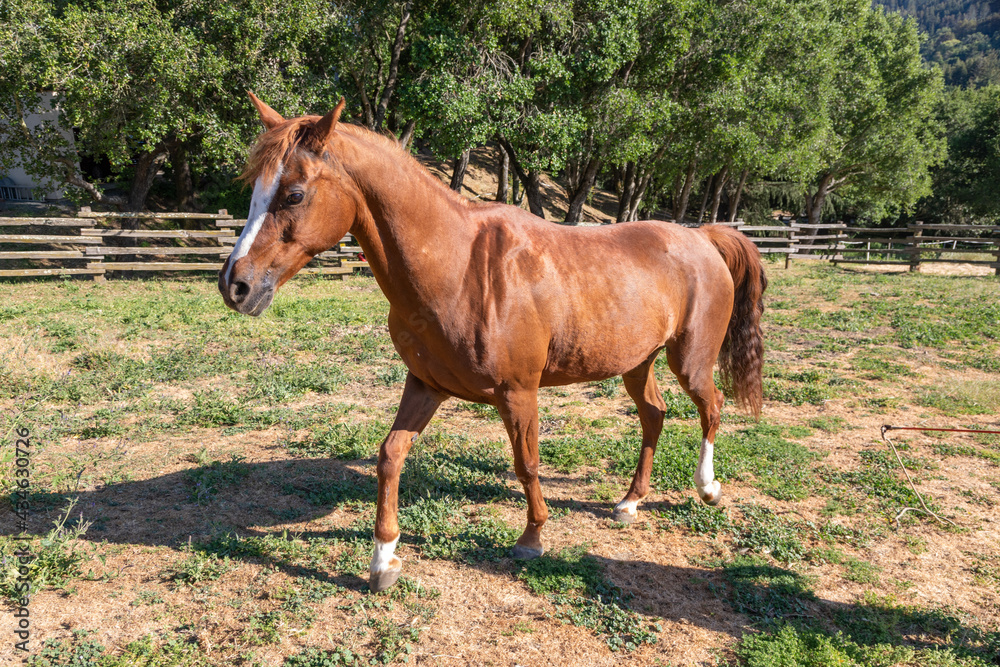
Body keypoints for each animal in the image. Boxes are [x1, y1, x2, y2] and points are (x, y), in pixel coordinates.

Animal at [219, 94, 764, 596]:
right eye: (254, 190)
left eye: (293, 195)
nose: (235, 285)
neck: (460, 267)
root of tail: (703, 238)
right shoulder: (426, 385)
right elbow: (390, 455)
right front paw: (384, 560)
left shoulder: (518, 393)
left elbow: (527, 464)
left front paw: (532, 538)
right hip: (637, 363)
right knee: (654, 414)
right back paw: (630, 502)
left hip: (689, 360)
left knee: (712, 406)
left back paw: (708, 489)